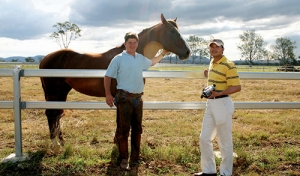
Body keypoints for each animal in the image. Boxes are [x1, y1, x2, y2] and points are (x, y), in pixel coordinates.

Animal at [39, 13, 190, 148]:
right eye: (172, 31)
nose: (187, 52)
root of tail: (45, 58)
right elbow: (120, 121)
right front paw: (118, 142)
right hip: (54, 93)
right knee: (51, 114)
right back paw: (55, 144)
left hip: (62, 92)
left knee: (57, 114)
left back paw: (62, 141)